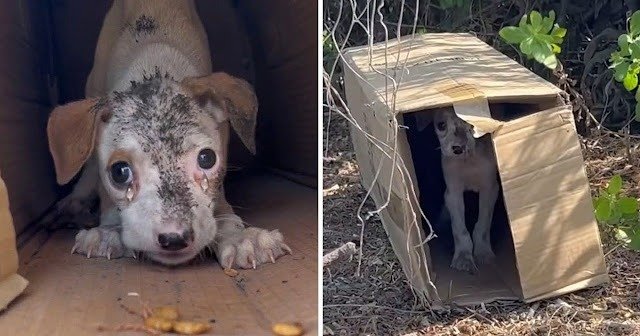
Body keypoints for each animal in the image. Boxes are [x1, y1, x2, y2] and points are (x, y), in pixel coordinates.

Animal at [45, 0, 292, 268]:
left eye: (207, 158)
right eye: (119, 172)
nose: (175, 238)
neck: (153, 68)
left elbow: (222, 210)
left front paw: (240, 237)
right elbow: (106, 196)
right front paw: (108, 231)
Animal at [416, 107, 500, 272]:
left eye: (472, 124)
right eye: (441, 125)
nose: (458, 149)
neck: (468, 162)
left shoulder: (489, 189)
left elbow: (482, 225)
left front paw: (483, 253)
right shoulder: (453, 193)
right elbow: (459, 229)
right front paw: (463, 257)